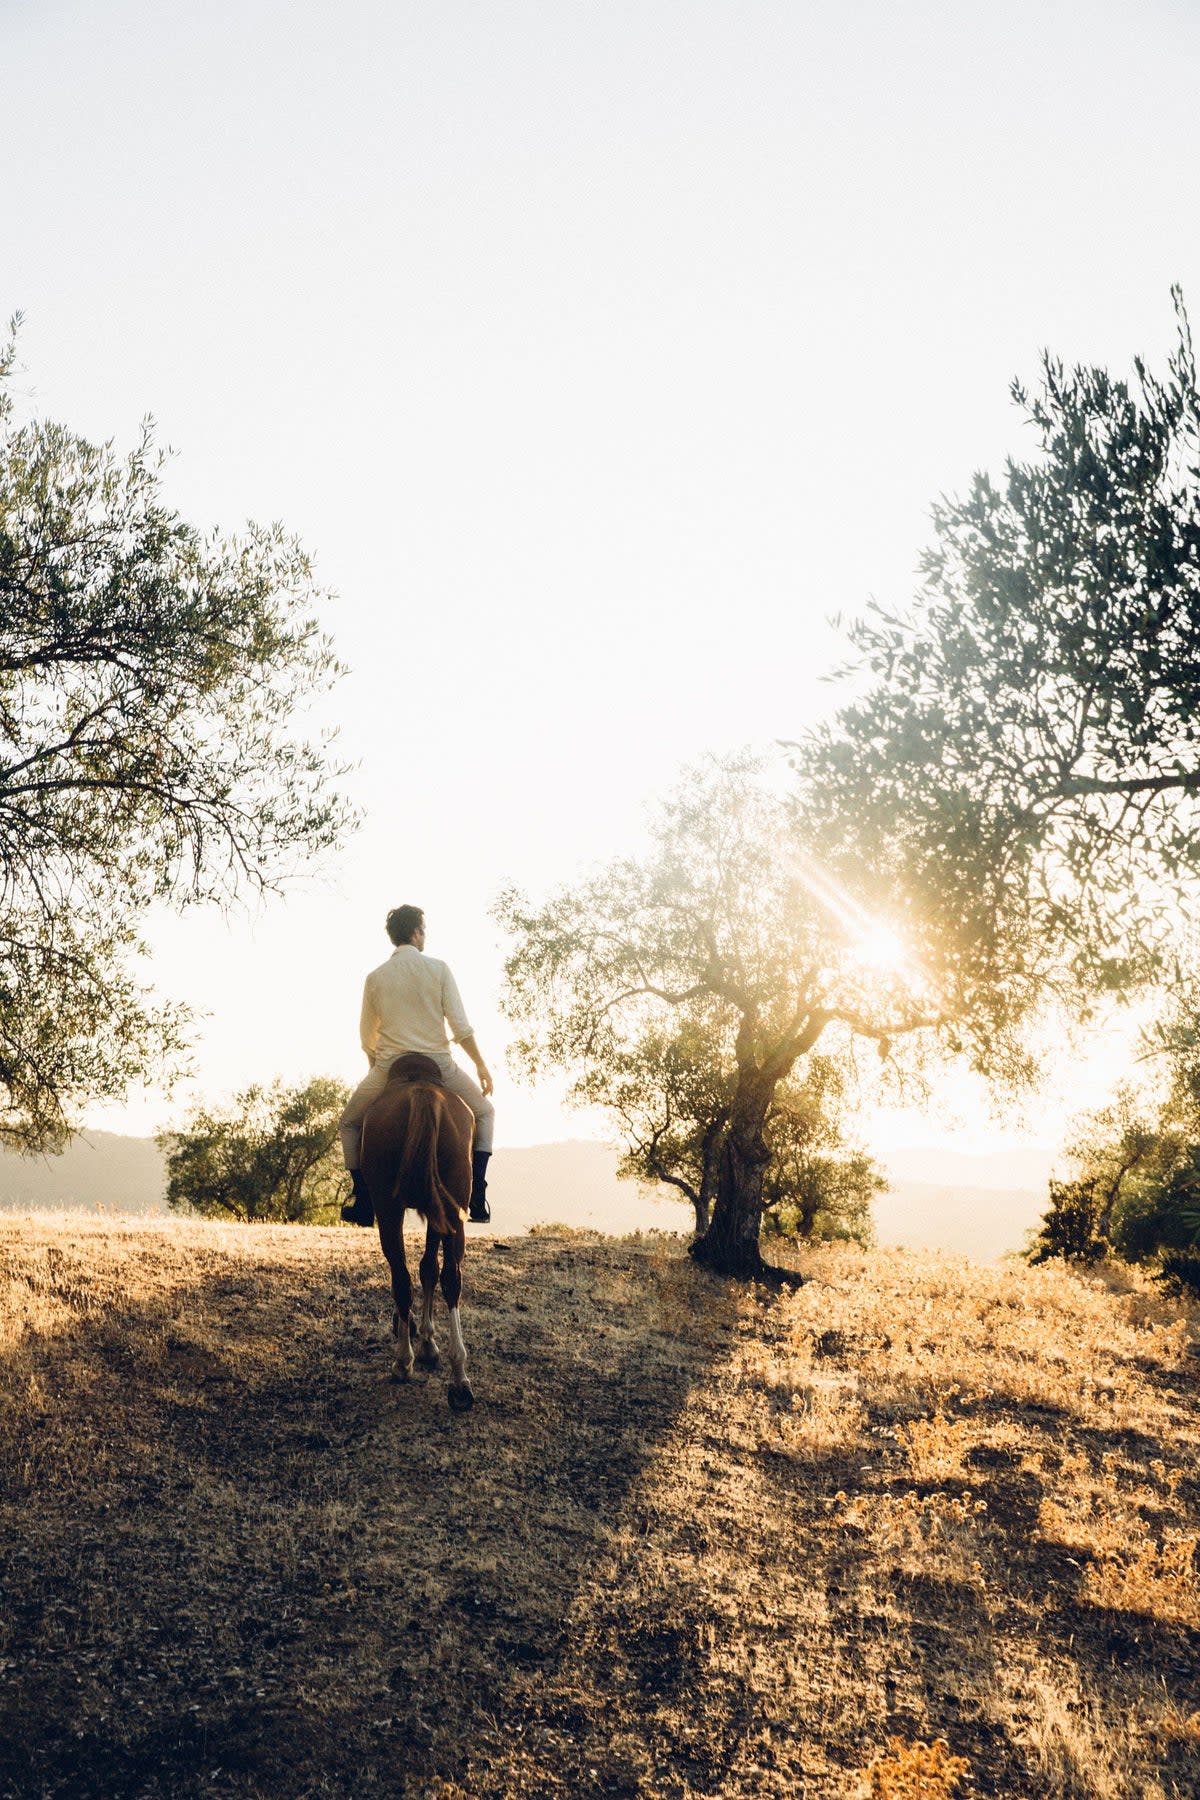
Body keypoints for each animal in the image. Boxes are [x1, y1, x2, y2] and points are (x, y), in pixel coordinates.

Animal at [361, 1051, 478, 1411]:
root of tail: (423, 1093)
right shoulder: (438, 1210)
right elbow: (430, 1268)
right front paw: (428, 1342)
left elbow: (422, 1270)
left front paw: (420, 1338)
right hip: (451, 1207)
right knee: (451, 1277)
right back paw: (459, 1380)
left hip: (388, 1208)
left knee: (402, 1277)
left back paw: (404, 1361)